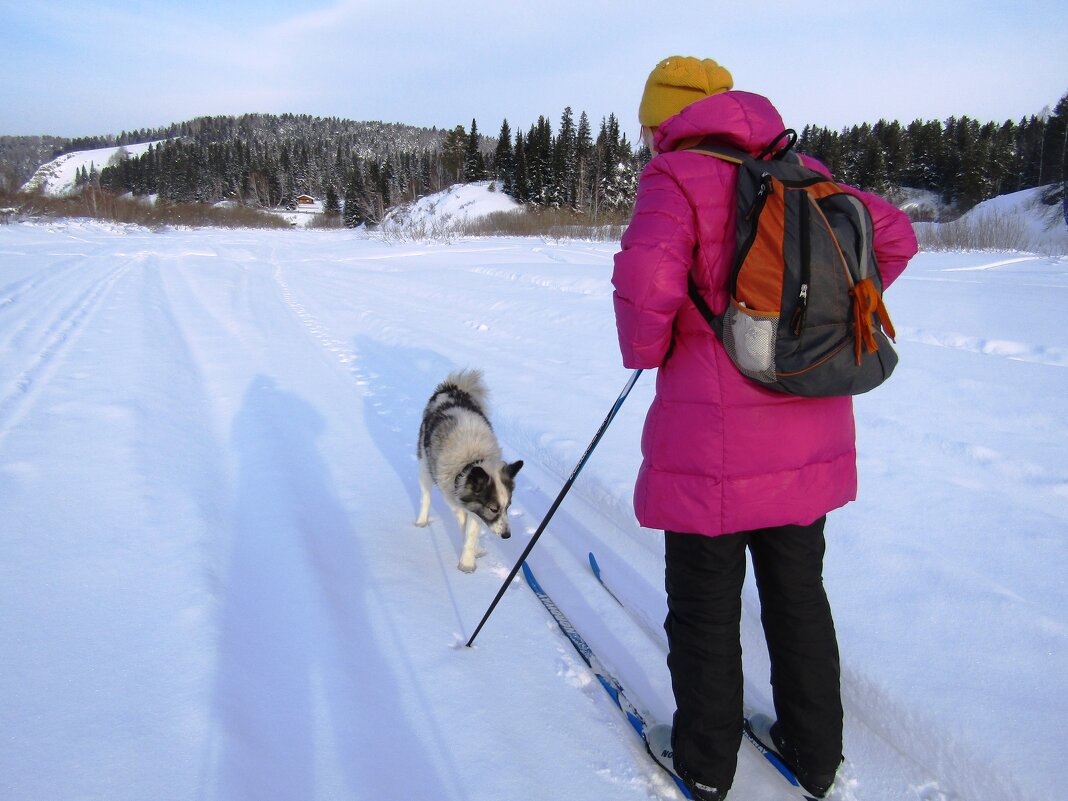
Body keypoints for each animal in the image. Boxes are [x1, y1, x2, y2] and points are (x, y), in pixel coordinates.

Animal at [414, 373, 523, 572]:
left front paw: (468, 560)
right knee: (426, 496)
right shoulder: (456, 499)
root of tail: (451, 388)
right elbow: (465, 524)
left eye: (508, 507)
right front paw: (468, 561)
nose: (507, 535)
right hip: (424, 464)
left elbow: (472, 531)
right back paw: (422, 521)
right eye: (493, 508)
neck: (472, 460)